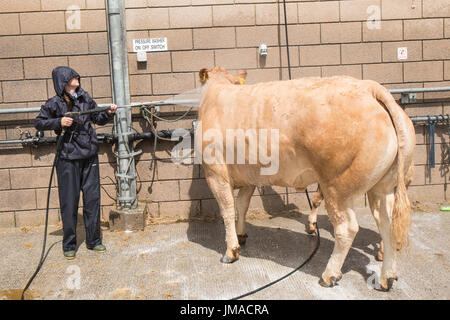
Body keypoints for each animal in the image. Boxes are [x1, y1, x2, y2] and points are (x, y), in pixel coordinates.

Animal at [197, 66, 414, 292]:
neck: (217, 91)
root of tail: (369, 88)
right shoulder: (250, 176)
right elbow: (241, 206)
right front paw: (241, 236)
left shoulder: (215, 172)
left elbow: (227, 210)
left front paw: (230, 251)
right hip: (382, 188)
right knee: (387, 225)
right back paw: (386, 278)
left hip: (337, 187)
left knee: (347, 228)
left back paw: (329, 275)